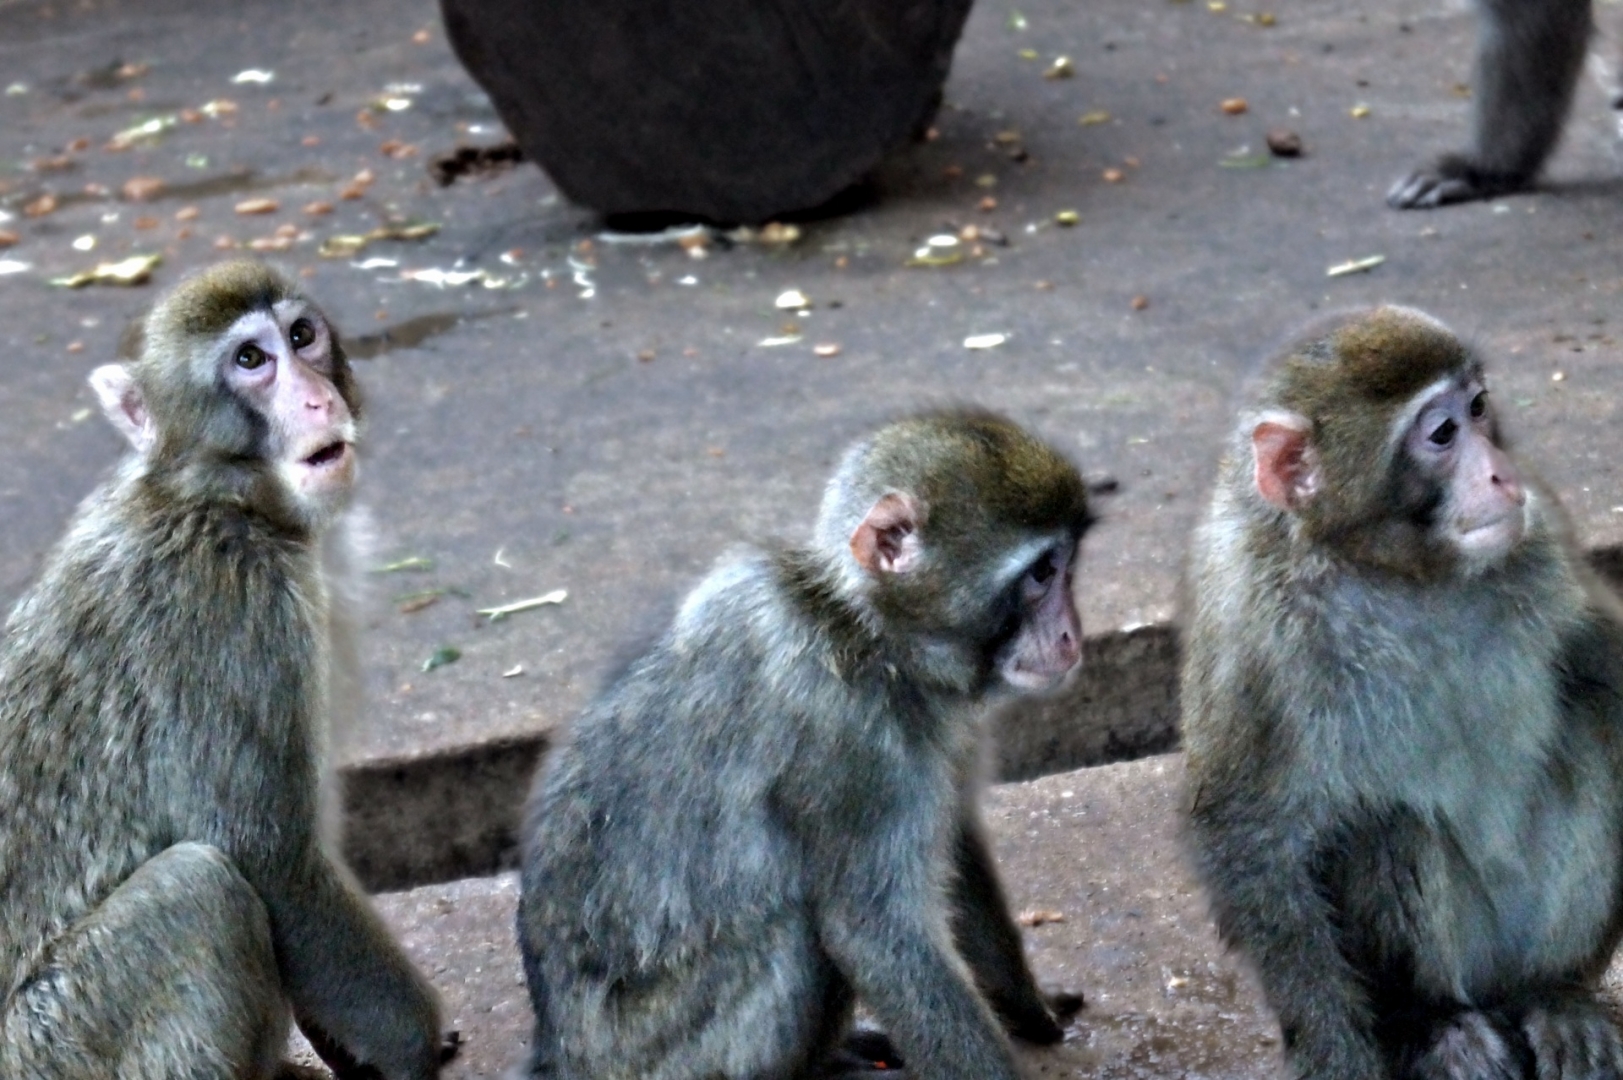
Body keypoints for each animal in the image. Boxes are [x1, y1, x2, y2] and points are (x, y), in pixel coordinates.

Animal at [0, 261, 444, 1078]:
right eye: (250, 360)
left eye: (302, 336)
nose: (316, 397)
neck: (218, 497)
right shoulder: (232, 606)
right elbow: (271, 860)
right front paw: (411, 1046)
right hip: (54, 1046)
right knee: (201, 889)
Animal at [516, 410, 1103, 1078]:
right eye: (1041, 573)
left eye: (1067, 566)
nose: (1070, 634)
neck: (865, 634)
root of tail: (561, 1052)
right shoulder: (847, 740)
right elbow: (877, 934)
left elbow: (957, 847)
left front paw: (1029, 1008)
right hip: (680, 1058)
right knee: (798, 934)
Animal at [1181, 305, 1623, 1078]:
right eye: (1441, 434)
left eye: (1478, 408)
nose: (1501, 473)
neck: (1389, 568)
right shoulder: (1247, 617)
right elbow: (1247, 835)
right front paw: (1336, 1054)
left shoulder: (1542, 540)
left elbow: (1609, 670)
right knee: (1383, 823)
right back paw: (1437, 1024)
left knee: (1598, 721)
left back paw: (1555, 993)